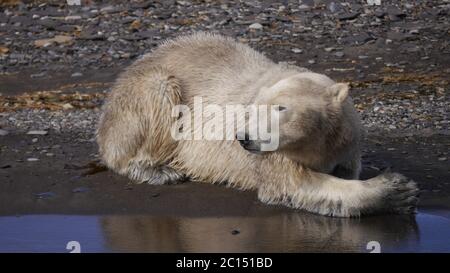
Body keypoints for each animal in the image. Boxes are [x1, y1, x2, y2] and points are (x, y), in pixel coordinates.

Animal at [97, 31, 418, 216]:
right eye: (254, 109)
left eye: (280, 108)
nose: (244, 138)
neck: (319, 142)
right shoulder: (277, 155)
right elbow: (294, 185)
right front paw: (397, 191)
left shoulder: (347, 142)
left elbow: (343, 171)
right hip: (142, 94)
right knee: (159, 95)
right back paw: (160, 170)